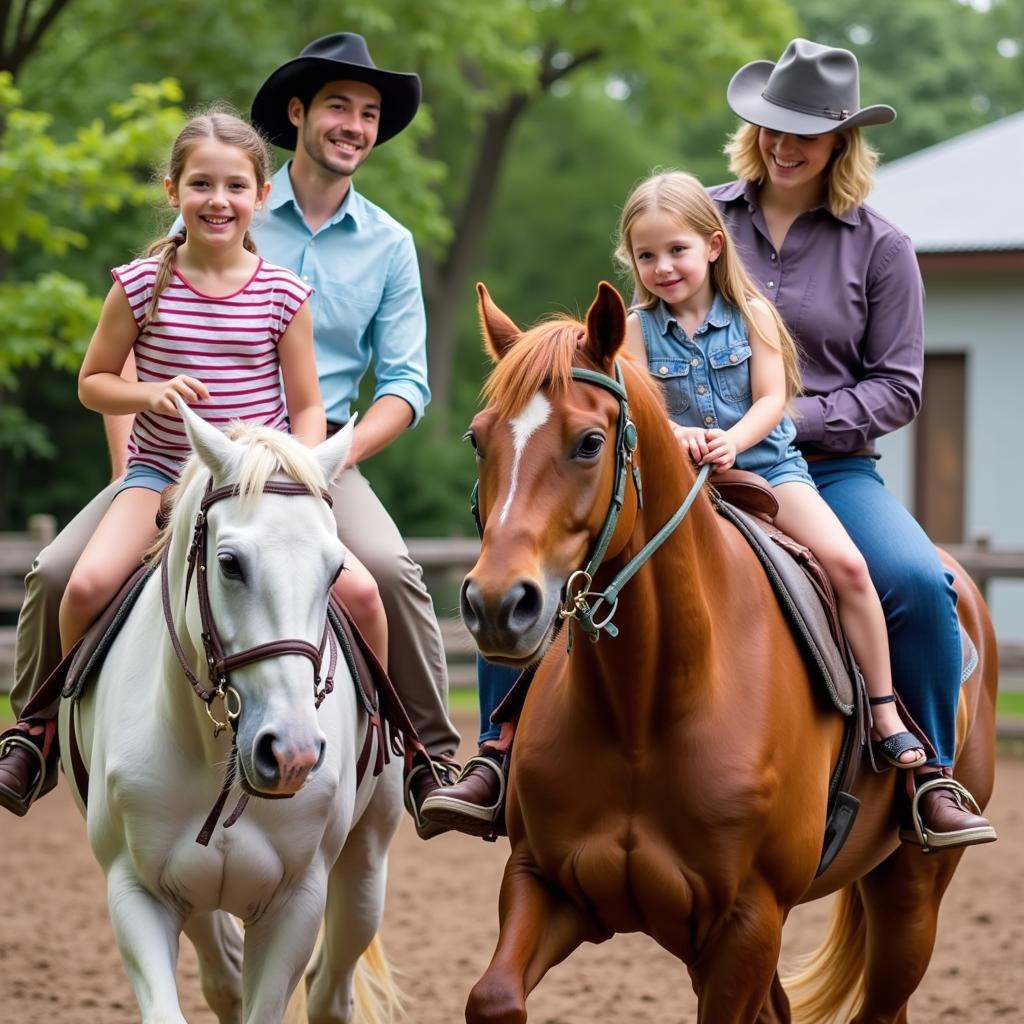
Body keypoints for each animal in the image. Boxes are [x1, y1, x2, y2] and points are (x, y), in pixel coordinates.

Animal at [57, 403, 403, 1019]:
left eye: (336, 570)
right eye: (230, 564)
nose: (291, 754)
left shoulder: (296, 903)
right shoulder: (137, 892)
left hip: (366, 866)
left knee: (330, 990)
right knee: (226, 980)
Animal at [460, 282, 995, 1024]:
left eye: (590, 442)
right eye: (477, 439)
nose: (496, 605)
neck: (646, 707)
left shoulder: (749, 921)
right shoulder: (546, 881)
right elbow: (494, 997)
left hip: (912, 890)